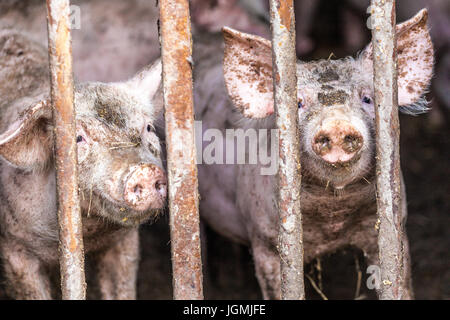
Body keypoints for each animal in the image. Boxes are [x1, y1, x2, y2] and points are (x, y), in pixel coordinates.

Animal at [0, 28, 167, 298]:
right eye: (78, 138)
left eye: (149, 127)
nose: (145, 170)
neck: (89, 234)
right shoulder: (14, 249)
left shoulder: (124, 240)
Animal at [195, 10, 434, 300]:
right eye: (298, 103)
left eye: (367, 99)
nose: (337, 124)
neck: (332, 219)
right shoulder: (265, 241)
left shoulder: (394, 225)